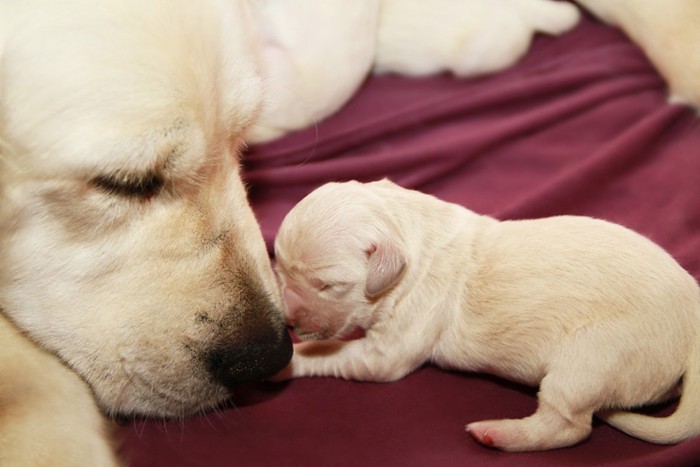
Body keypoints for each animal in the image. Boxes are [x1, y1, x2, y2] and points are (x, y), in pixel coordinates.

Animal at [276, 180, 700, 454]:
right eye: (278, 267)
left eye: (327, 285)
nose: (288, 321)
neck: (412, 235)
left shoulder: (392, 344)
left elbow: (334, 352)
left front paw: (289, 361)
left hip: (592, 356)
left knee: (569, 426)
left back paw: (498, 434)